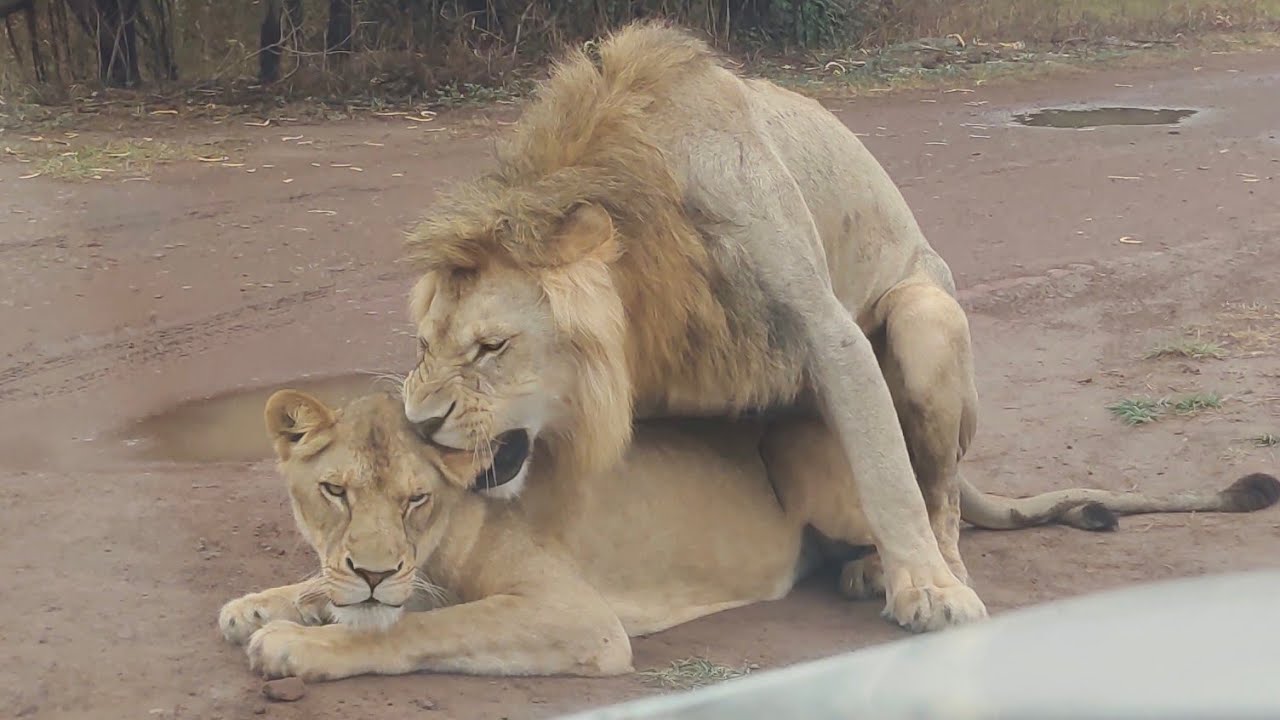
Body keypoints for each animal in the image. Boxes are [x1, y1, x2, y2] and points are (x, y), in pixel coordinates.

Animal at [218, 390, 1279, 681]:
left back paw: (887, 581)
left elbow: (420, 627)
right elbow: (327, 589)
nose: (370, 568)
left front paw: (300, 643)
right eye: (332, 491)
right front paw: (263, 603)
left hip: (817, 458)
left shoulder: (580, 617)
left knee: (928, 521)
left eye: (414, 501)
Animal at [397, 19, 995, 633]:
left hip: (922, 317)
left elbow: (886, 474)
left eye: (491, 346)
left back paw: (923, 571)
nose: (418, 424)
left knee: (940, 492)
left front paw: (928, 588)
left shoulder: (830, 333)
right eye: (423, 345)